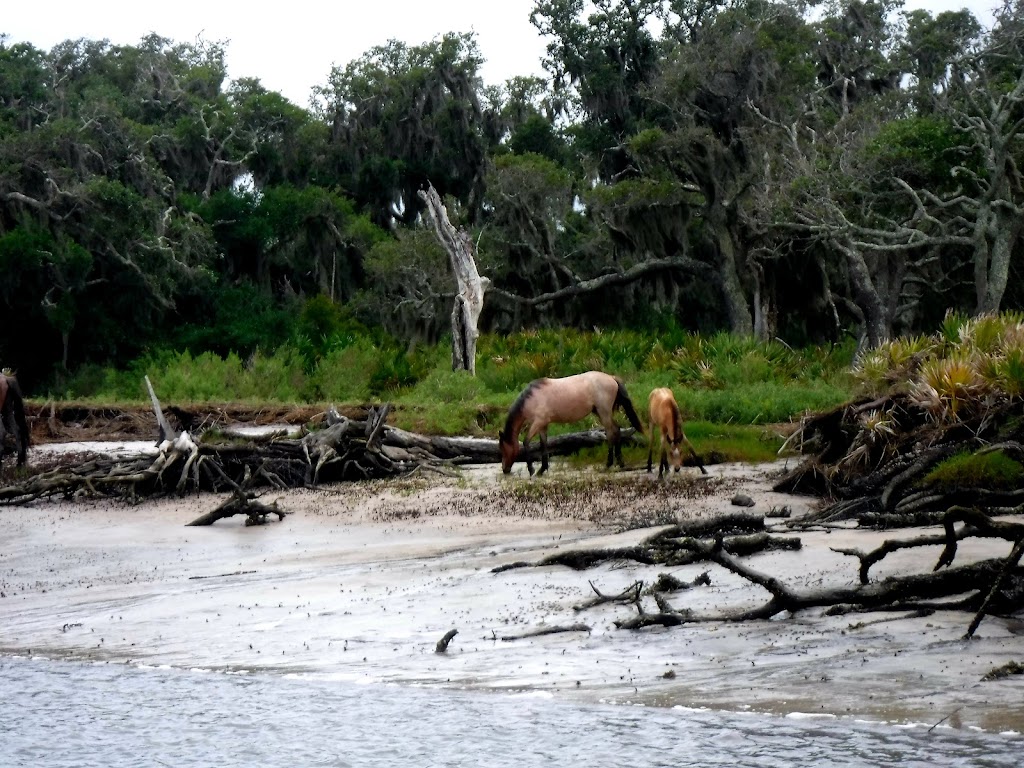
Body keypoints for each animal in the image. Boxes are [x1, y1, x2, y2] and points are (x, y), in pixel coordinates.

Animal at [495, 370, 638, 479]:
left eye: (503, 448)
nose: (505, 469)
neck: (531, 398)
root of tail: (611, 378)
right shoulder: (543, 425)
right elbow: (543, 445)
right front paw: (542, 469)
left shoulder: (538, 422)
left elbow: (526, 442)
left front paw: (532, 470)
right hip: (600, 413)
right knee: (616, 430)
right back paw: (620, 463)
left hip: (604, 413)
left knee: (611, 433)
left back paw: (608, 464)